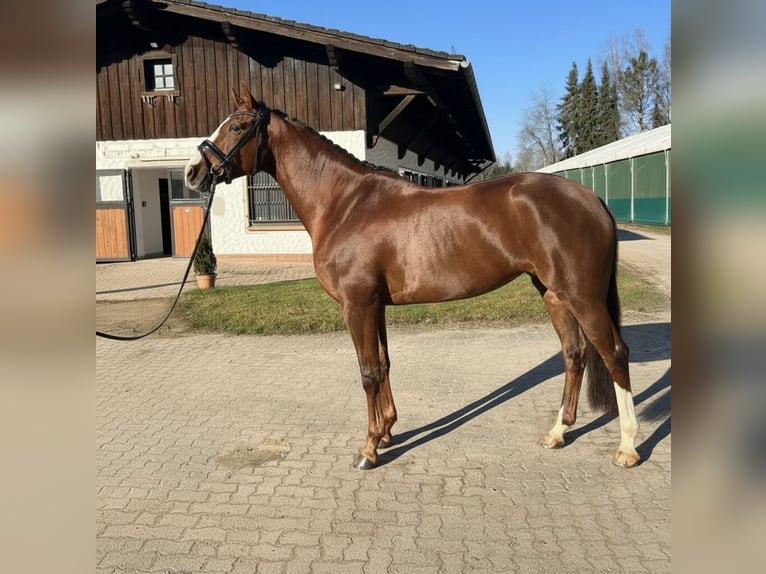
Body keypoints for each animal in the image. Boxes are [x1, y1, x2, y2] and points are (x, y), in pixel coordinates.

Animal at [185, 82, 640, 470]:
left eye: (237, 126)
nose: (193, 173)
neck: (345, 203)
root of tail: (591, 198)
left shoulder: (357, 305)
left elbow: (368, 372)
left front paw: (369, 449)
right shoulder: (375, 306)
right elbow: (384, 364)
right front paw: (388, 431)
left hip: (582, 296)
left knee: (614, 354)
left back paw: (627, 448)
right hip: (553, 293)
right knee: (575, 354)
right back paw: (558, 433)